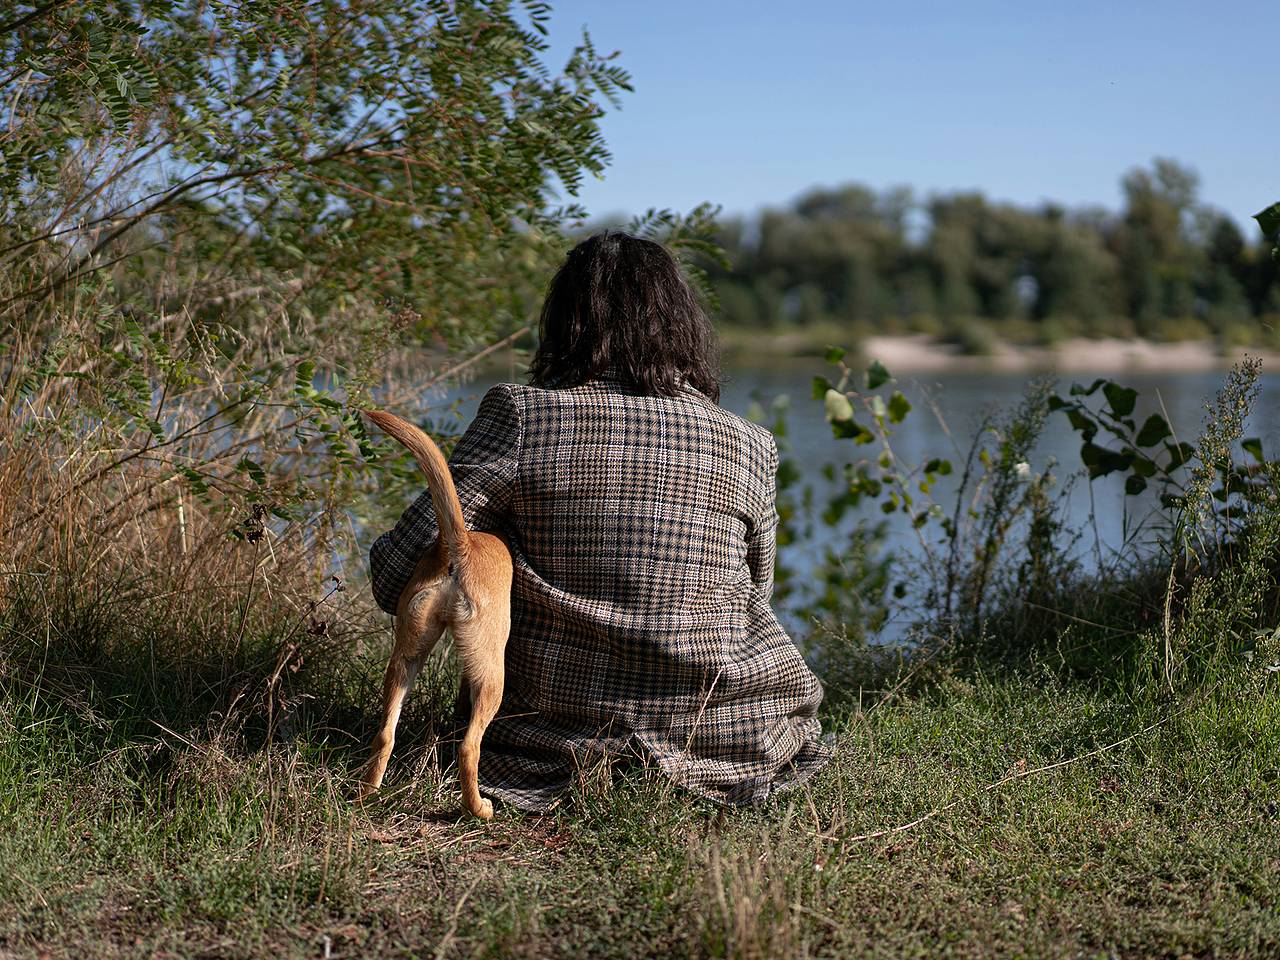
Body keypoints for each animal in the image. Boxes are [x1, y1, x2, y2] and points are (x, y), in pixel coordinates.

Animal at [358, 409, 512, 824]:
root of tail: (459, 544)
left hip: (406, 655)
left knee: (385, 734)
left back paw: (366, 794)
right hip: (492, 676)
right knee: (469, 748)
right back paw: (479, 809)